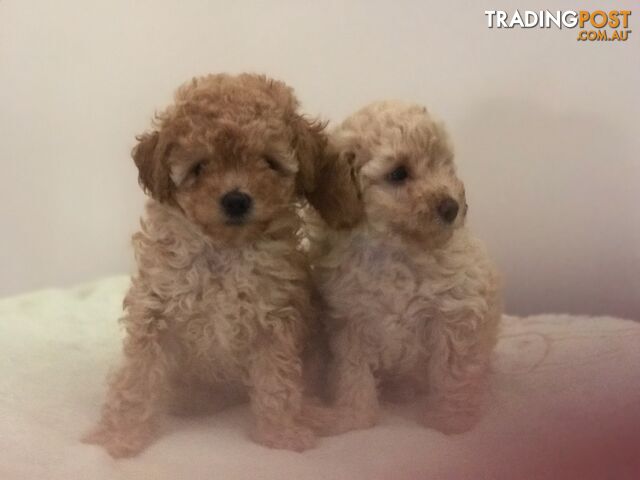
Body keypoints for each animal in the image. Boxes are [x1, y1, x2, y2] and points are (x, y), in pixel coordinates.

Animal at [82, 74, 328, 458]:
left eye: (269, 162)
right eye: (199, 167)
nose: (236, 200)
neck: (224, 252)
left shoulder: (276, 320)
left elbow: (278, 382)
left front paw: (281, 433)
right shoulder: (155, 312)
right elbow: (137, 379)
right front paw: (120, 435)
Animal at [308, 100, 502, 436]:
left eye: (444, 165)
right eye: (398, 174)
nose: (453, 207)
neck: (394, 250)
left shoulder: (454, 312)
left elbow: (452, 371)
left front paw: (451, 419)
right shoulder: (349, 322)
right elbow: (353, 375)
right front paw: (354, 417)